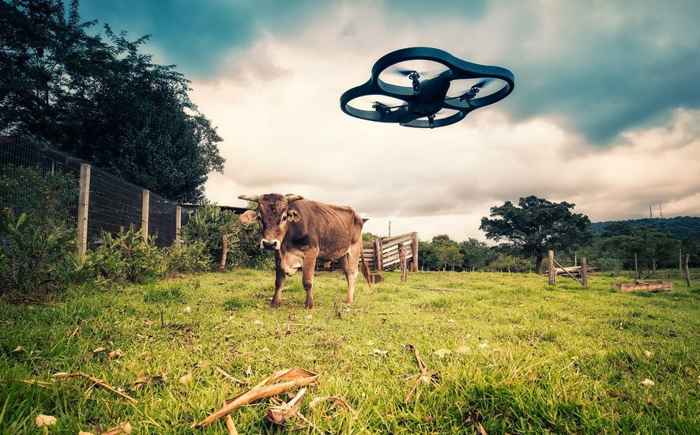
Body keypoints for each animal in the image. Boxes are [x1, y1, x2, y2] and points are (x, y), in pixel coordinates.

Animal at [238, 193, 371, 309]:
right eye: (259, 217)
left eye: (284, 217)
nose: (269, 243)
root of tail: (358, 216)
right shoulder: (278, 253)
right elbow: (279, 281)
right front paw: (275, 303)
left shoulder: (311, 252)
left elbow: (307, 281)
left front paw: (309, 305)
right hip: (342, 254)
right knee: (347, 273)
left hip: (354, 250)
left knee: (352, 273)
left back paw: (349, 300)